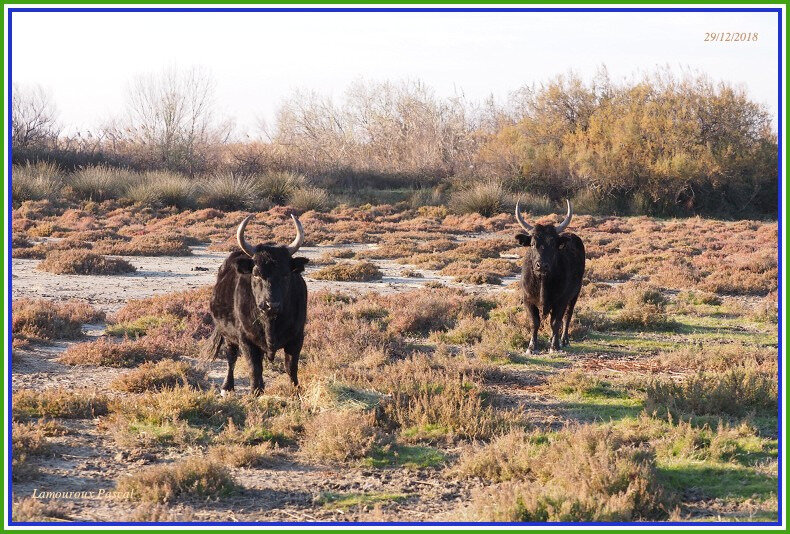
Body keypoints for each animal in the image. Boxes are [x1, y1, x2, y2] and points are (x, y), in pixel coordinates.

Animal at [516, 199, 584, 354]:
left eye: (553, 244)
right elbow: (534, 322)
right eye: (533, 244)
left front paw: (554, 346)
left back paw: (563, 340)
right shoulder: (527, 300)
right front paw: (531, 347)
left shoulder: (561, 301)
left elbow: (556, 322)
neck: (543, 282)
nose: (542, 265)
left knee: (567, 316)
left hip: (575, 294)